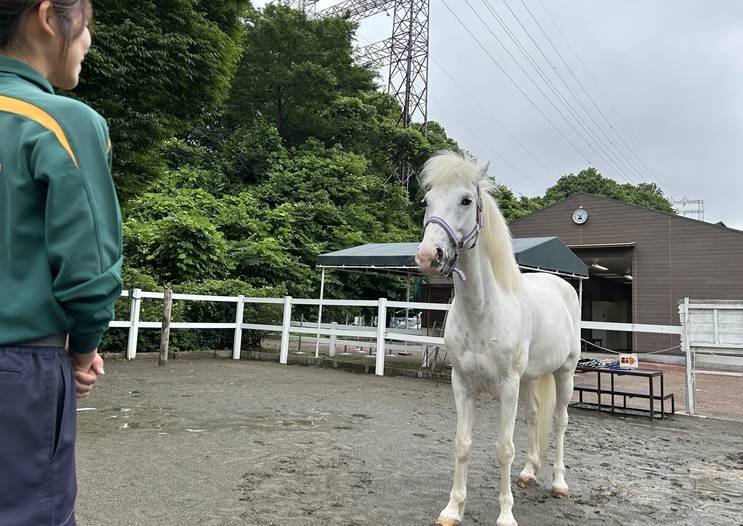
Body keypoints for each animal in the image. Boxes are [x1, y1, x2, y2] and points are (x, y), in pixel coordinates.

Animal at [415, 151, 581, 526]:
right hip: (532, 378)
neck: (484, 311)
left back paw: (559, 484)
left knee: (560, 422)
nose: (428, 256)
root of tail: (562, 285)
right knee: (535, 417)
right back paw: (529, 474)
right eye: (427, 201)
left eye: (466, 200)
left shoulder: (507, 386)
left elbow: (504, 449)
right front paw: (452, 510)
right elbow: (462, 444)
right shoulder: (461, 383)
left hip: (564, 372)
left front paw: (506, 515)